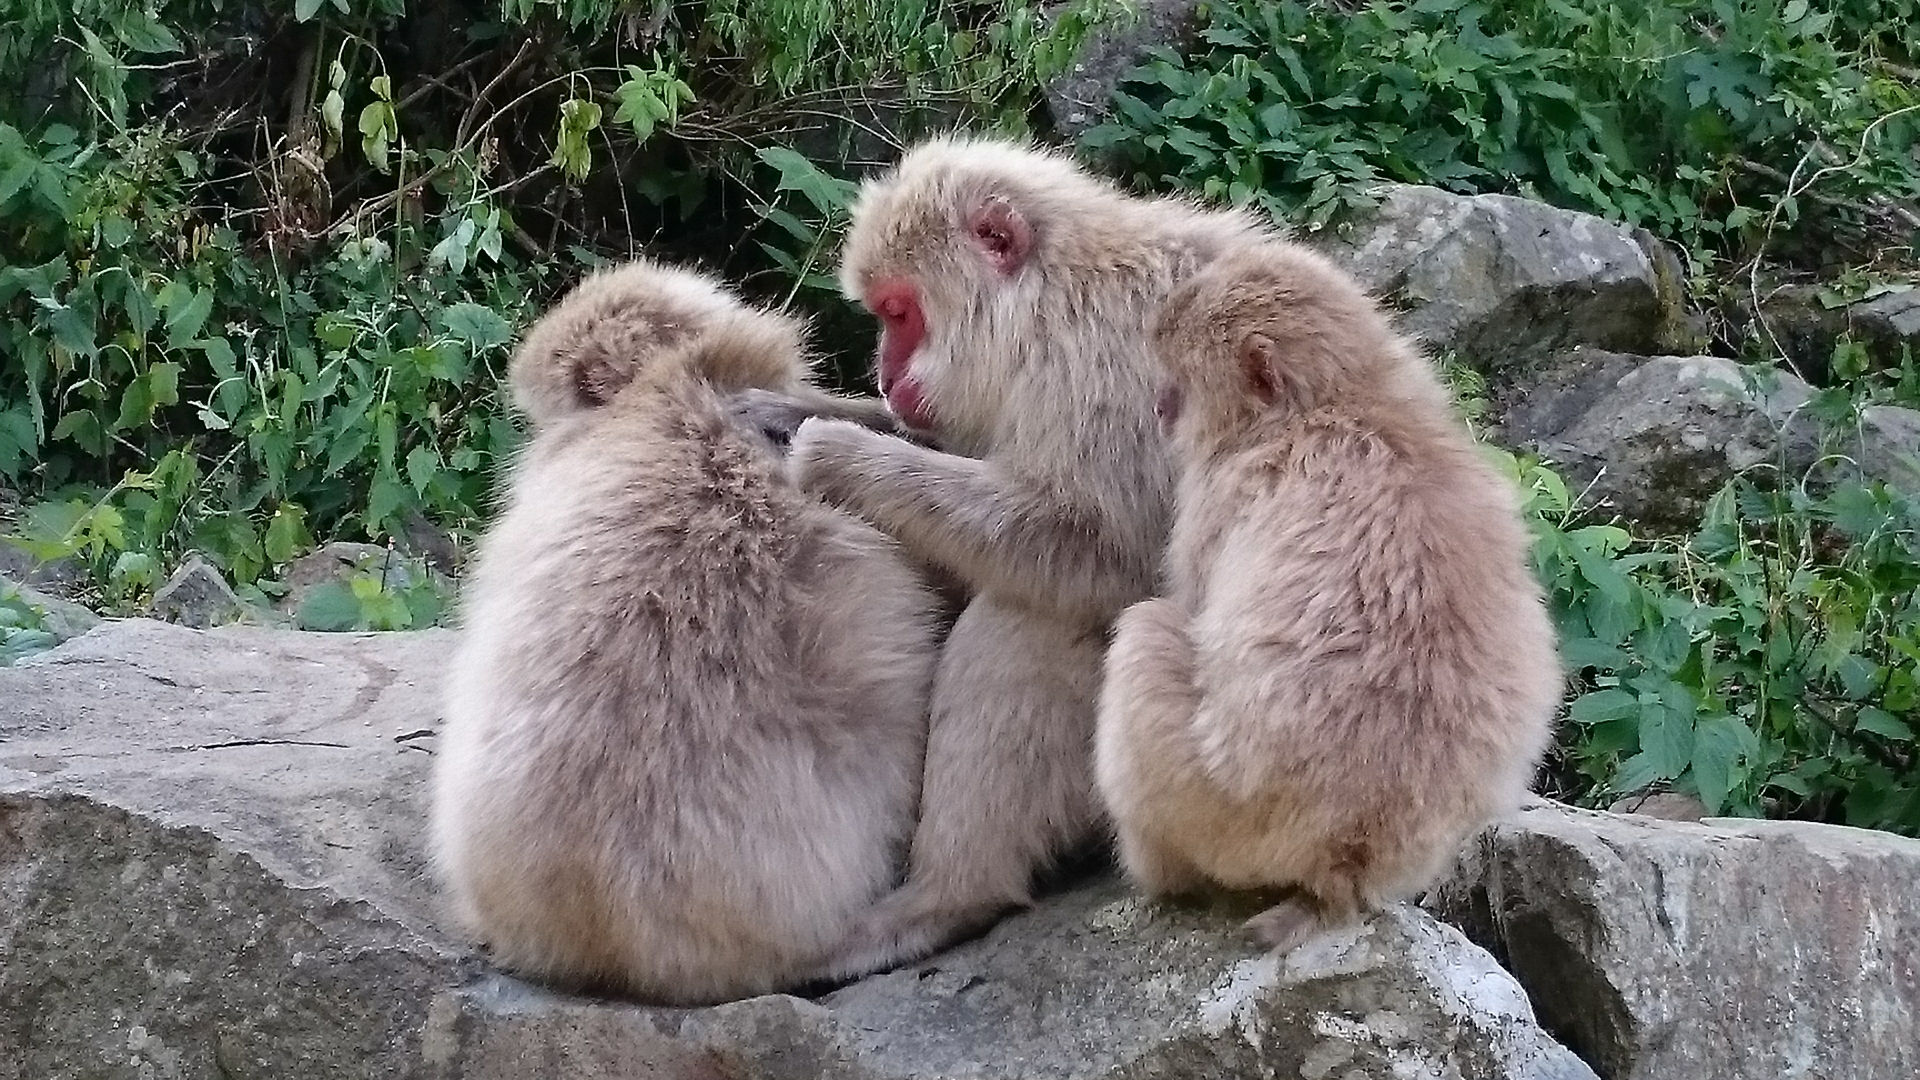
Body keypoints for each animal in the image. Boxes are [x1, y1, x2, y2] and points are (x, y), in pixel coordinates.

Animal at [779, 134, 1274, 976]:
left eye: (900, 312)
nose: (883, 370)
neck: (1051, 299)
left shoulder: (1106, 364)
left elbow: (1104, 551)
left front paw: (838, 457)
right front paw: (778, 406)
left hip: (1205, 790)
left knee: (1031, 616)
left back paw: (948, 896)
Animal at [1098, 237, 1559, 949]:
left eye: (1180, 365)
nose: (1158, 401)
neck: (1340, 399)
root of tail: (1347, 862)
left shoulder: (1220, 492)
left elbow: (1193, 603)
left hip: (1212, 807)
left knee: (1145, 635)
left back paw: (1158, 878)